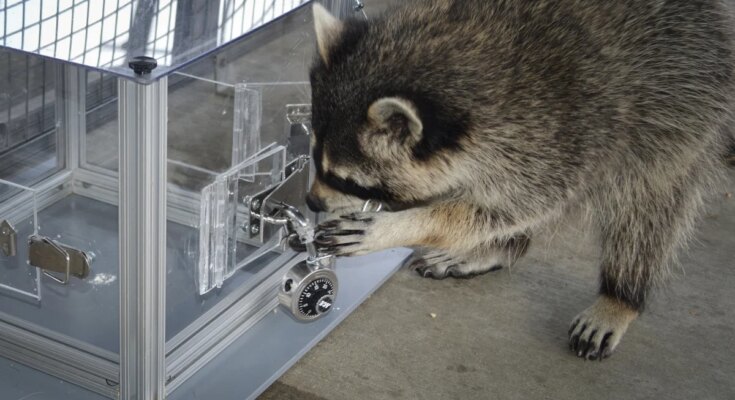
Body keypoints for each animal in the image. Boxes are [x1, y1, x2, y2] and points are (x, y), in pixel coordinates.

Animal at [305, 0, 735, 360]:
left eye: (346, 179)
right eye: (314, 159)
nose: (311, 202)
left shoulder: (559, 140)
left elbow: (507, 208)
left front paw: (402, 225)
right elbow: (493, 205)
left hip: (683, 109)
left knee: (647, 209)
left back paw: (620, 296)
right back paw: (501, 247)